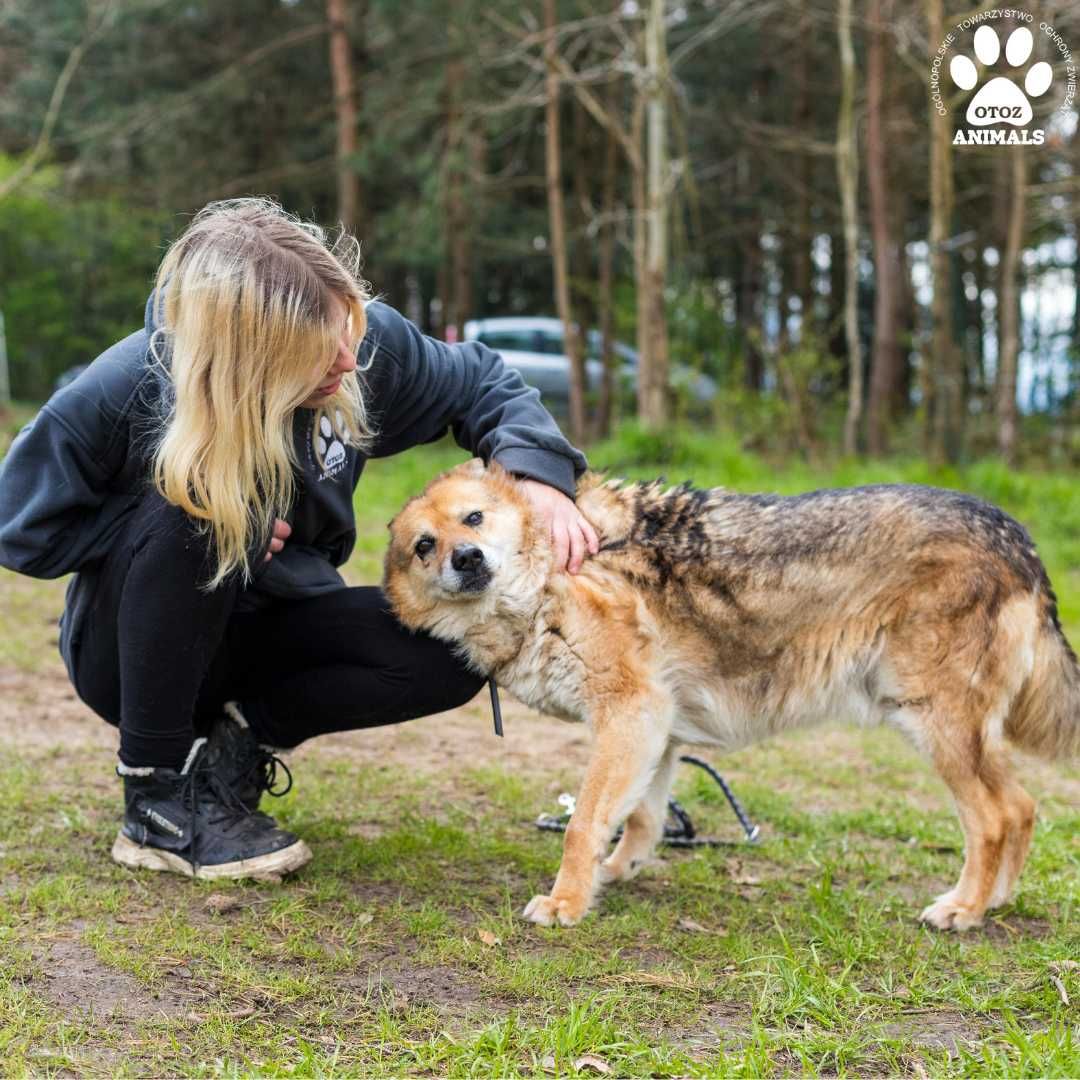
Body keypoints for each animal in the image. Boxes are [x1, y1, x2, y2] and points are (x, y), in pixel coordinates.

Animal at [384, 455, 1075, 928]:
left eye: (473, 519)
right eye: (425, 547)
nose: (466, 559)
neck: (547, 581)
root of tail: (1017, 536)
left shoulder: (629, 714)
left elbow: (581, 824)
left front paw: (565, 902)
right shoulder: (656, 730)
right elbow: (641, 817)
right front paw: (617, 874)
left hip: (931, 725)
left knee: (993, 817)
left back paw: (963, 909)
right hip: (952, 732)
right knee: (1022, 806)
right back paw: (997, 901)